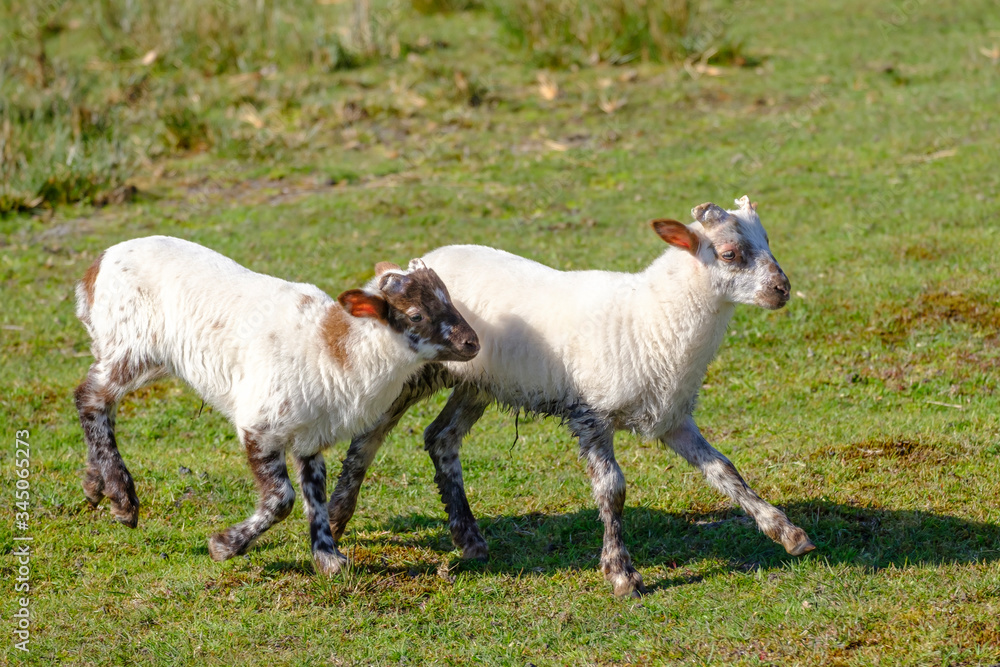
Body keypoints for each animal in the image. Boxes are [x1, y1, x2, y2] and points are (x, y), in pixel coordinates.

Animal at [73, 236, 479, 574]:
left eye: (450, 299)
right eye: (416, 315)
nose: (472, 343)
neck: (333, 349)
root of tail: (98, 264)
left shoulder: (310, 436)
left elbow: (315, 495)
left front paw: (328, 558)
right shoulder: (260, 425)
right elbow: (282, 499)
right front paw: (224, 546)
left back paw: (95, 486)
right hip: (132, 346)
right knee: (89, 397)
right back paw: (122, 499)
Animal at [326, 196, 815, 596]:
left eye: (767, 241)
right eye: (730, 254)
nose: (782, 289)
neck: (650, 317)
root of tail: (411, 267)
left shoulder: (673, 418)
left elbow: (725, 470)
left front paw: (787, 533)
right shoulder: (591, 414)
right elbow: (612, 489)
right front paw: (622, 574)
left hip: (479, 381)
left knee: (441, 438)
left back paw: (469, 539)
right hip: (420, 370)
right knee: (369, 436)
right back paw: (335, 518)